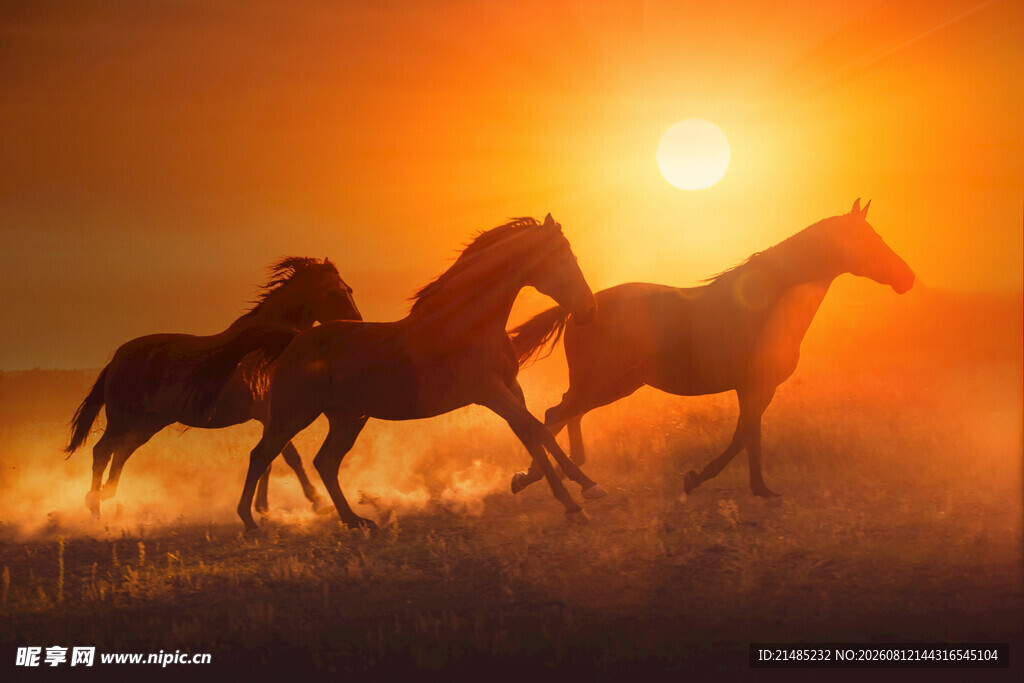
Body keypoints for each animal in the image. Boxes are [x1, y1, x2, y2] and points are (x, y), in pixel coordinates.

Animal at [65, 257, 361, 519]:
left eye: (350, 289)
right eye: (332, 292)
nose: (356, 323)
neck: (270, 345)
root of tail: (117, 358)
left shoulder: (269, 417)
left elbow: (271, 458)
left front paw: (262, 506)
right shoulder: (273, 415)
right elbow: (288, 456)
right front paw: (317, 501)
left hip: (147, 424)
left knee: (121, 453)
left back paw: (105, 495)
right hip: (123, 419)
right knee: (102, 452)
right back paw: (95, 507)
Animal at [186, 214, 606, 533]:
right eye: (561, 259)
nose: (588, 310)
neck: (467, 325)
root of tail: (295, 340)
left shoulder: (510, 389)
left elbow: (536, 432)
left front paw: (581, 488)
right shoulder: (490, 392)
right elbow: (535, 430)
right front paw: (574, 503)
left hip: (347, 418)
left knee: (325, 461)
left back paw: (355, 521)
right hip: (294, 414)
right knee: (264, 455)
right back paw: (251, 522)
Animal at [508, 200, 914, 497]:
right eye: (870, 240)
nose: (907, 278)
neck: (769, 306)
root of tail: (582, 308)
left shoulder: (759, 389)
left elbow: (744, 437)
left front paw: (741, 484)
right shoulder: (753, 387)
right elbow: (745, 437)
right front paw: (735, 485)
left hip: (617, 385)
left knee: (563, 414)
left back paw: (549, 475)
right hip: (599, 382)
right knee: (555, 413)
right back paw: (545, 479)